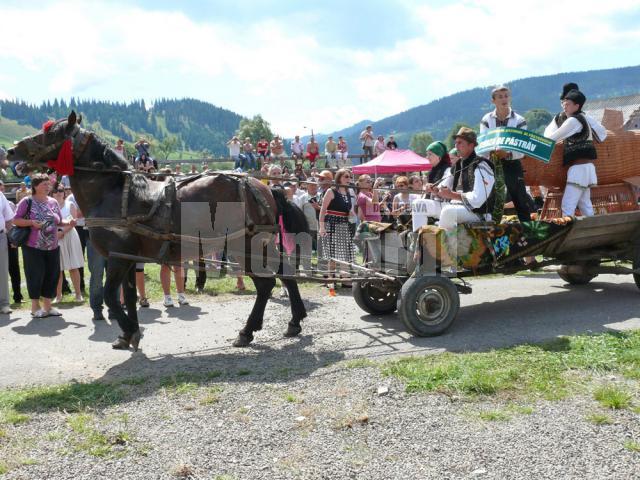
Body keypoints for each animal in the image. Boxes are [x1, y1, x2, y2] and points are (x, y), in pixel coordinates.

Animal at [8, 112, 310, 352]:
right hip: (258, 245)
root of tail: (264, 187)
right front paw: (128, 334)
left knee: (266, 284)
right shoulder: (129, 260)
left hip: (245, 247)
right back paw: (294, 321)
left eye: (50, 133)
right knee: (284, 273)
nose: (11, 151)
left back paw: (247, 331)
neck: (114, 193)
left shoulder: (118, 257)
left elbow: (110, 297)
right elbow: (128, 296)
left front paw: (131, 331)